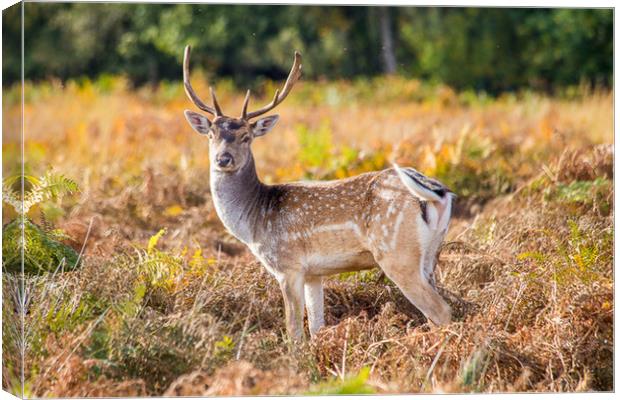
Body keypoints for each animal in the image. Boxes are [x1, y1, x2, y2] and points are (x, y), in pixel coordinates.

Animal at [182, 46, 452, 340]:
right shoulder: (314, 273)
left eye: (246, 136)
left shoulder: (288, 266)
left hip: (397, 253)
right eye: (210, 135)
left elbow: (294, 331)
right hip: (432, 254)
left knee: (441, 311)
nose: (223, 159)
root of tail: (440, 194)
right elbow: (316, 325)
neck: (254, 222)